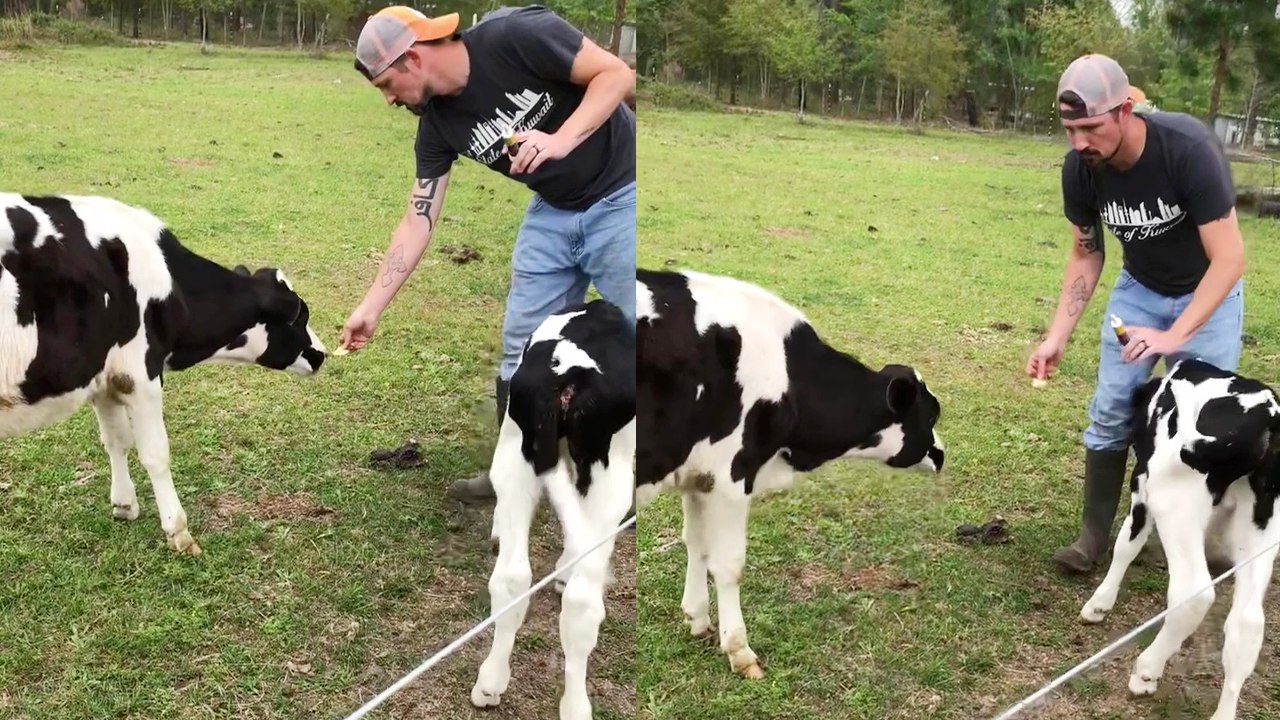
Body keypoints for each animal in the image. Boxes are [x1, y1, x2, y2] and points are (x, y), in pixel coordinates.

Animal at [1, 193, 327, 556]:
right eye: (301, 316)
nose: (322, 354)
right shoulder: (139, 374)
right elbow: (156, 454)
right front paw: (179, 531)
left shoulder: (106, 378)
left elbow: (115, 441)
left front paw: (124, 505)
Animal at [469, 298, 635, 720]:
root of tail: (565, 370)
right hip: (608, 477)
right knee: (578, 600)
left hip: (517, 455)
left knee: (513, 579)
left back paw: (492, 683)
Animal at [635, 267, 946, 679]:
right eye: (931, 414)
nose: (941, 455)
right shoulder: (733, 474)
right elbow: (728, 563)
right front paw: (740, 652)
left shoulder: (700, 476)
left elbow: (696, 544)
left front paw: (698, 619)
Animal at [1079, 358, 1280, 720]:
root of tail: (1266, 413)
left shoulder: (1141, 485)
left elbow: (1127, 544)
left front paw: (1099, 603)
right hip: (1261, 533)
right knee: (1247, 622)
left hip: (1173, 501)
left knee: (1194, 593)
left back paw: (1146, 671)